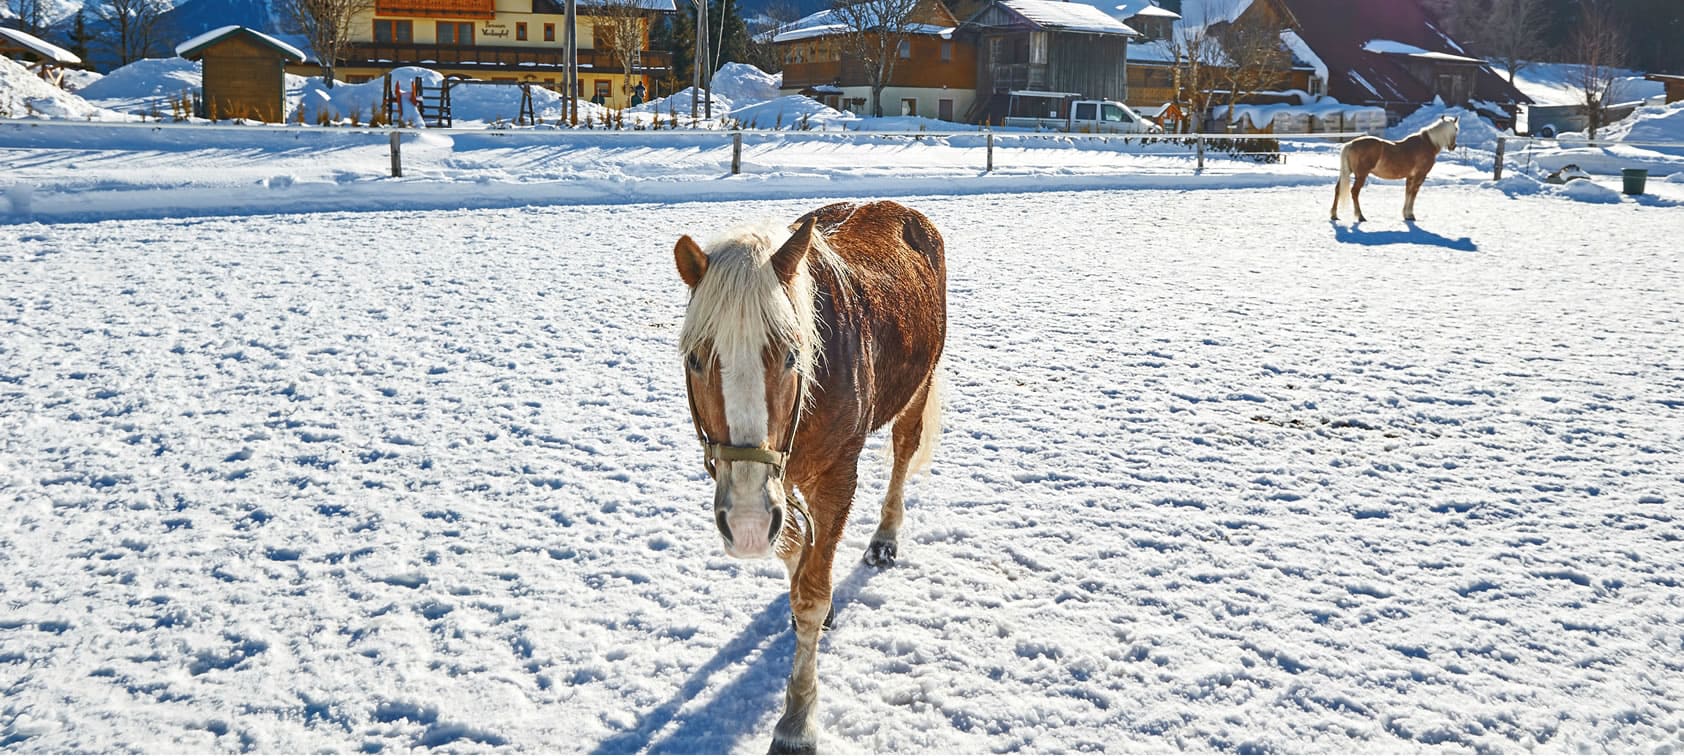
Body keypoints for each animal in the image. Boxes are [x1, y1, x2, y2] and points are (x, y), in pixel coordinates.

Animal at [670, 196, 949, 750]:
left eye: (792, 356)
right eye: (695, 359)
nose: (747, 524)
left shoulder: (838, 474)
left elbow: (811, 597)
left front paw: (797, 719)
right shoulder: (776, 486)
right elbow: (797, 549)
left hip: (918, 385)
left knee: (903, 452)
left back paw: (886, 537)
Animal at [1326, 114, 1461, 220]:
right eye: (1456, 129)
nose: (1453, 146)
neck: (1427, 144)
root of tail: (1351, 144)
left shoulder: (1410, 177)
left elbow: (1408, 192)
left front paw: (1406, 214)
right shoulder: (1420, 176)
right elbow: (1413, 193)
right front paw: (1410, 215)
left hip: (1347, 173)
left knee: (1338, 189)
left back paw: (1334, 215)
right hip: (1361, 175)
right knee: (1354, 192)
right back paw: (1360, 216)